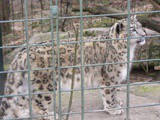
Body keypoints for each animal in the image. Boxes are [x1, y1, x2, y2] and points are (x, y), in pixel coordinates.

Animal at [0, 15, 146, 119]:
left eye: (141, 26)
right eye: (133, 29)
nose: (145, 34)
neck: (129, 50)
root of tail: (22, 53)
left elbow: (114, 93)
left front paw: (117, 102)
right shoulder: (110, 77)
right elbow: (109, 93)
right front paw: (113, 109)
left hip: (25, 85)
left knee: (18, 101)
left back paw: (23, 113)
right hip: (46, 86)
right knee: (37, 103)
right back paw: (50, 115)